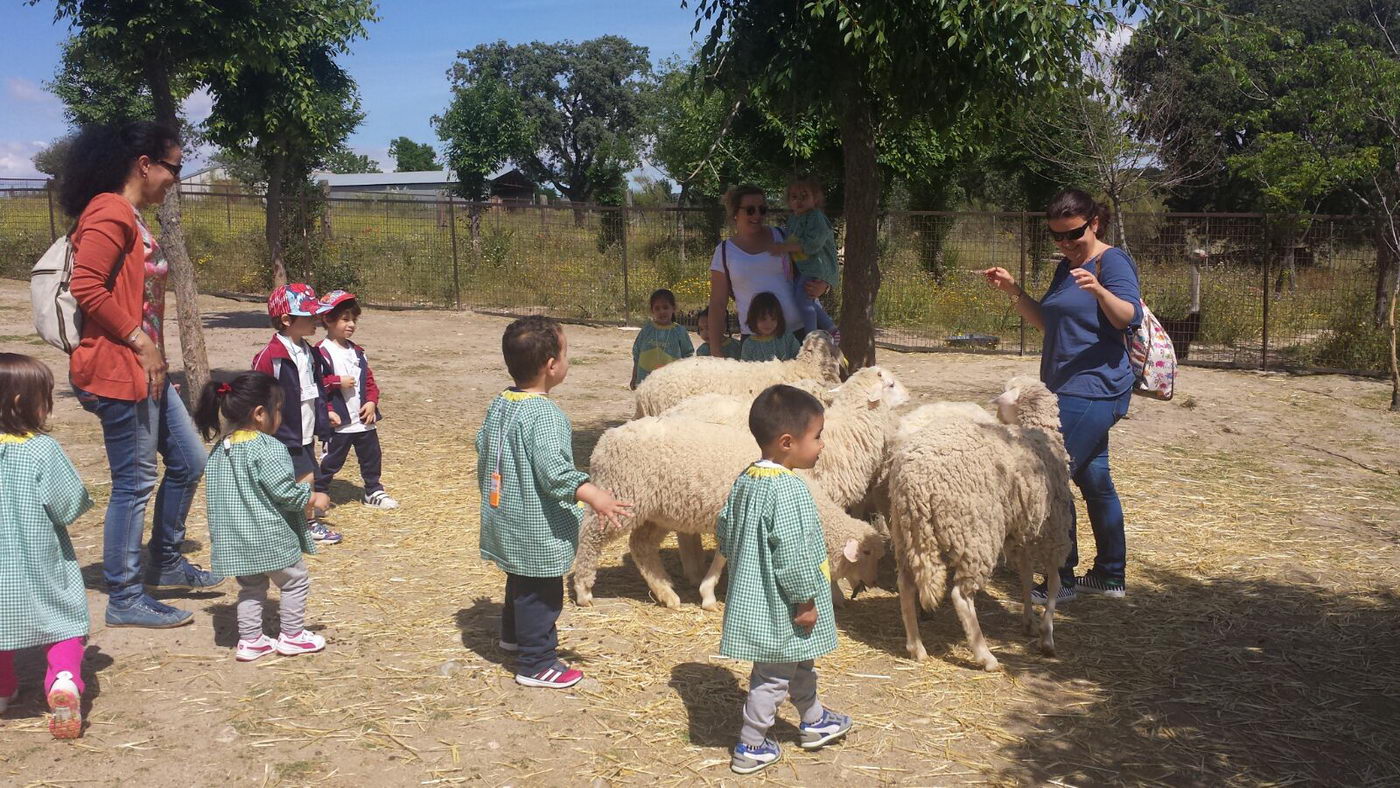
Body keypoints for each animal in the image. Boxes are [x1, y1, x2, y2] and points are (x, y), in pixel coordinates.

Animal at [571, 369, 907, 610]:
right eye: (890, 384)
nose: (909, 397)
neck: (848, 428)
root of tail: (606, 440)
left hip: (660, 507)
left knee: (643, 544)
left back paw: (670, 590)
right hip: (619, 499)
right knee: (590, 537)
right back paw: (585, 590)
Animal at [884, 380, 1069, 671]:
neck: (1036, 432)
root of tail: (914, 480)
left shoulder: (1021, 533)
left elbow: (1027, 576)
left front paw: (1029, 621)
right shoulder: (1053, 531)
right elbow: (1053, 582)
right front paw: (1047, 636)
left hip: (907, 532)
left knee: (906, 584)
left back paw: (916, 647)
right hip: (975, 533)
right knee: (961, 596)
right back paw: (985, 655)